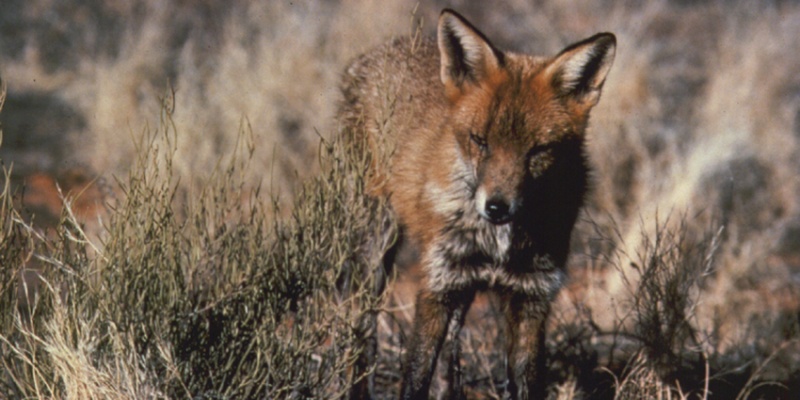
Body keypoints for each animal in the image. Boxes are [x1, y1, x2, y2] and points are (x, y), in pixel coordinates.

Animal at [334, 7, 616, 400]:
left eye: (537, 151)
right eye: (480, 141)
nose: (497, 207)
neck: (497, 244)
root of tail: (373, 54)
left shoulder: (531, 296)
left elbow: (526, 381)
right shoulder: (437, 284)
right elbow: (415, 376)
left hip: (459, 289)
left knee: (449, 361)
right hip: (374, 252)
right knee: (361, 332)